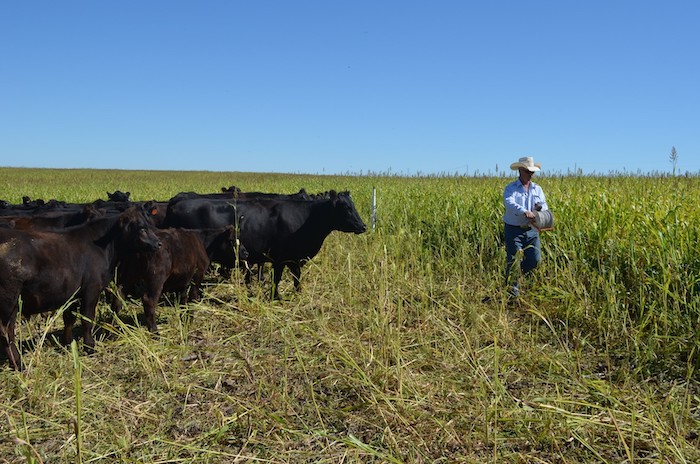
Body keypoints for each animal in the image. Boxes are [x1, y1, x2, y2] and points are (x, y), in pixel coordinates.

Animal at [0, 207, 161, 370]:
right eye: (142, 228)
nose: (159, 243)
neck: (100, 246)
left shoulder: (72, 294)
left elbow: (69, 318)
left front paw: (68, 343)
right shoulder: (91, 289)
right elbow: (87, 318)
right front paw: (90, 347)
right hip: (9, 303)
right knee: (6, 333)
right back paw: (18, 364)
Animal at [163, 190, 366, 300]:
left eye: (353, 205)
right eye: (346, 208)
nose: (363, 226)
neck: (307, 218)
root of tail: (175, 203)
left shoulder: (293, 257)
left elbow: (296, 276)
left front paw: (298, 293)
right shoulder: (281, 257)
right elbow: (277, 278)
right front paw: (276, 296)